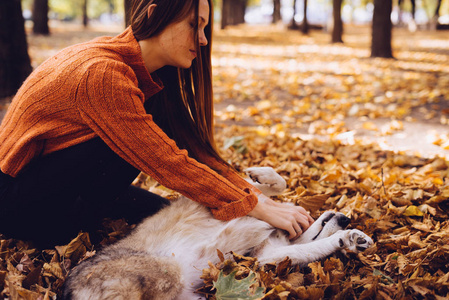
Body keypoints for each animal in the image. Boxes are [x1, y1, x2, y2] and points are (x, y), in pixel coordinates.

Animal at [62, 168, 372, 298]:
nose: (346, 217)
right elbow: (262, 187)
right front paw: (260, 174)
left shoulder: (266, 258)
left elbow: (310, 246)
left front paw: (352, 240)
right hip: (168, 273)